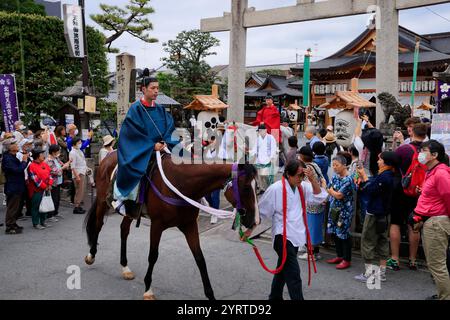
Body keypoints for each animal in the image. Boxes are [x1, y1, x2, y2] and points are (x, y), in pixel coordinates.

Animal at [83, 150, 256, 300]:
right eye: (247, 187)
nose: (253, 221)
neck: (181, 183)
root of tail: (107, 157)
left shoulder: (189, 225)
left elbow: (200, 258)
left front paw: (210, 294)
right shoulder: (157, 225)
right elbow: (153, 256)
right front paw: (148, 289)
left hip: (131, 210)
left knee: (124, 230)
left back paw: (125, 268)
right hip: (102, 201)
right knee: (98, 225)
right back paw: (91, 255)